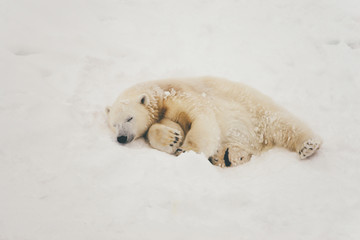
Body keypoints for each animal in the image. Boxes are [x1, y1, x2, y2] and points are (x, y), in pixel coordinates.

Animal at [105, 76, 322, 167]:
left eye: (129, 118)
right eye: (114, 125)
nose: (121, 138)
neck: (161, 93)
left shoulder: (182, 93)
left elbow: (201, 118)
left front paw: (187, 150)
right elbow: (170, 127)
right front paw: (172, 139)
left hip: (254, 109)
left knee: (282, 123)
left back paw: (308, 146)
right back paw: (226, 157)